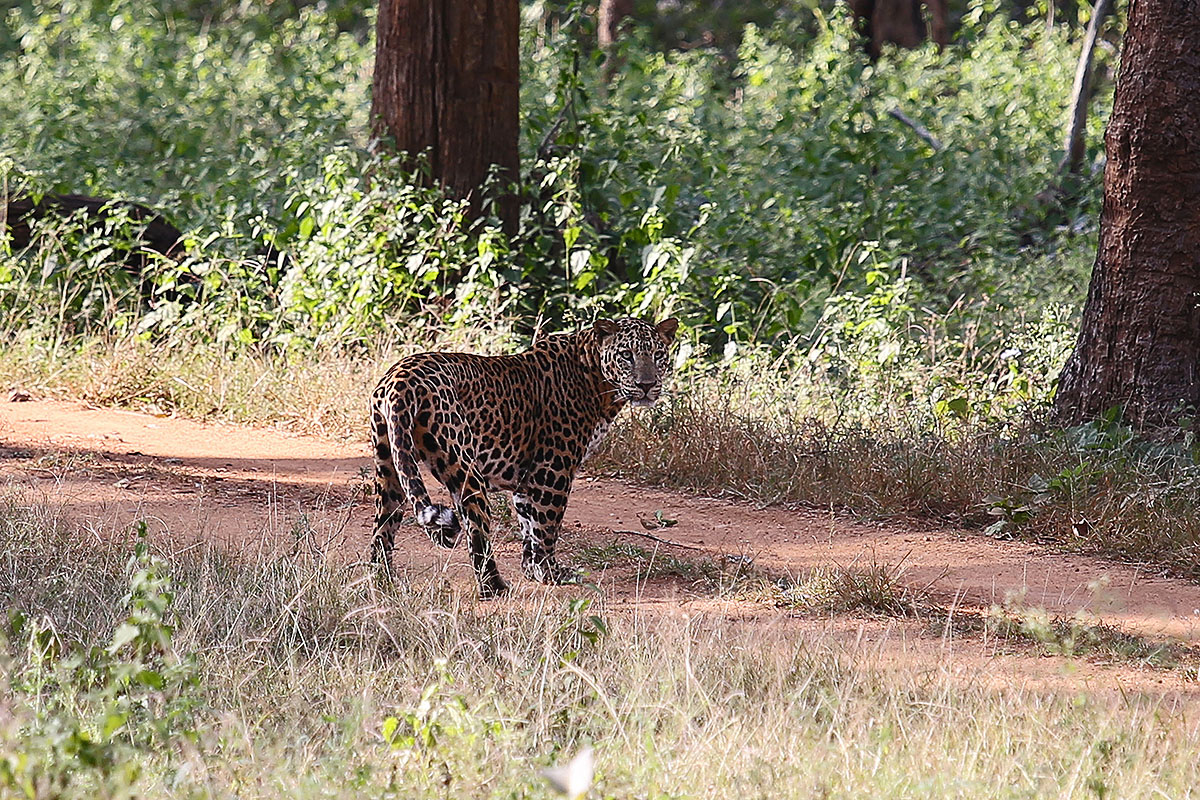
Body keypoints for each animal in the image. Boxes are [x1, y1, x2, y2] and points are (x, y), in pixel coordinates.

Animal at [369, 316, 681, 597]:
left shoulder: (528, 477)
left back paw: (381, 584)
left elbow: (528, 523)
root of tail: (400, 379)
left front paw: (532, 569)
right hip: (465, 470)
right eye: (626, 355)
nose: (646, 384)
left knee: (382, 529)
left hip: (389, 466)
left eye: (658, 355)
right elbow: (547, 525)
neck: (597, 381)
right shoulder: (553, 470)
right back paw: (494, 588)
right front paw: (550, 572)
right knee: (477, 535)